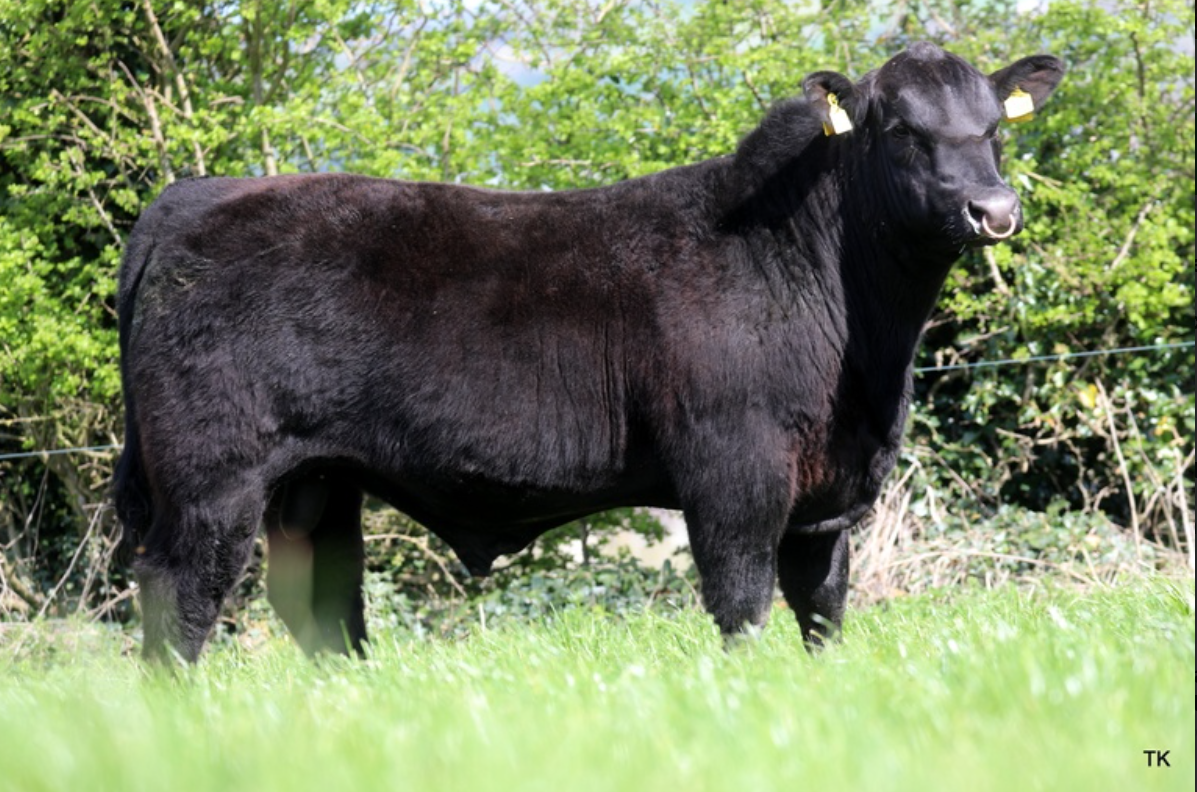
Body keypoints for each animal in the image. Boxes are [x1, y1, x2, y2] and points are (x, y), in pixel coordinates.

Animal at [114, 42, 1064, 662]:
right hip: (211, 475)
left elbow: (822, 608)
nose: (993, 209)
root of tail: (193, 197)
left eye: (994, 128)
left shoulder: (826, 494)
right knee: (179, 594)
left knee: (318, 606)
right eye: (899, 129)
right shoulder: (734, 469)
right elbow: (743, 602)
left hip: (314, 480)